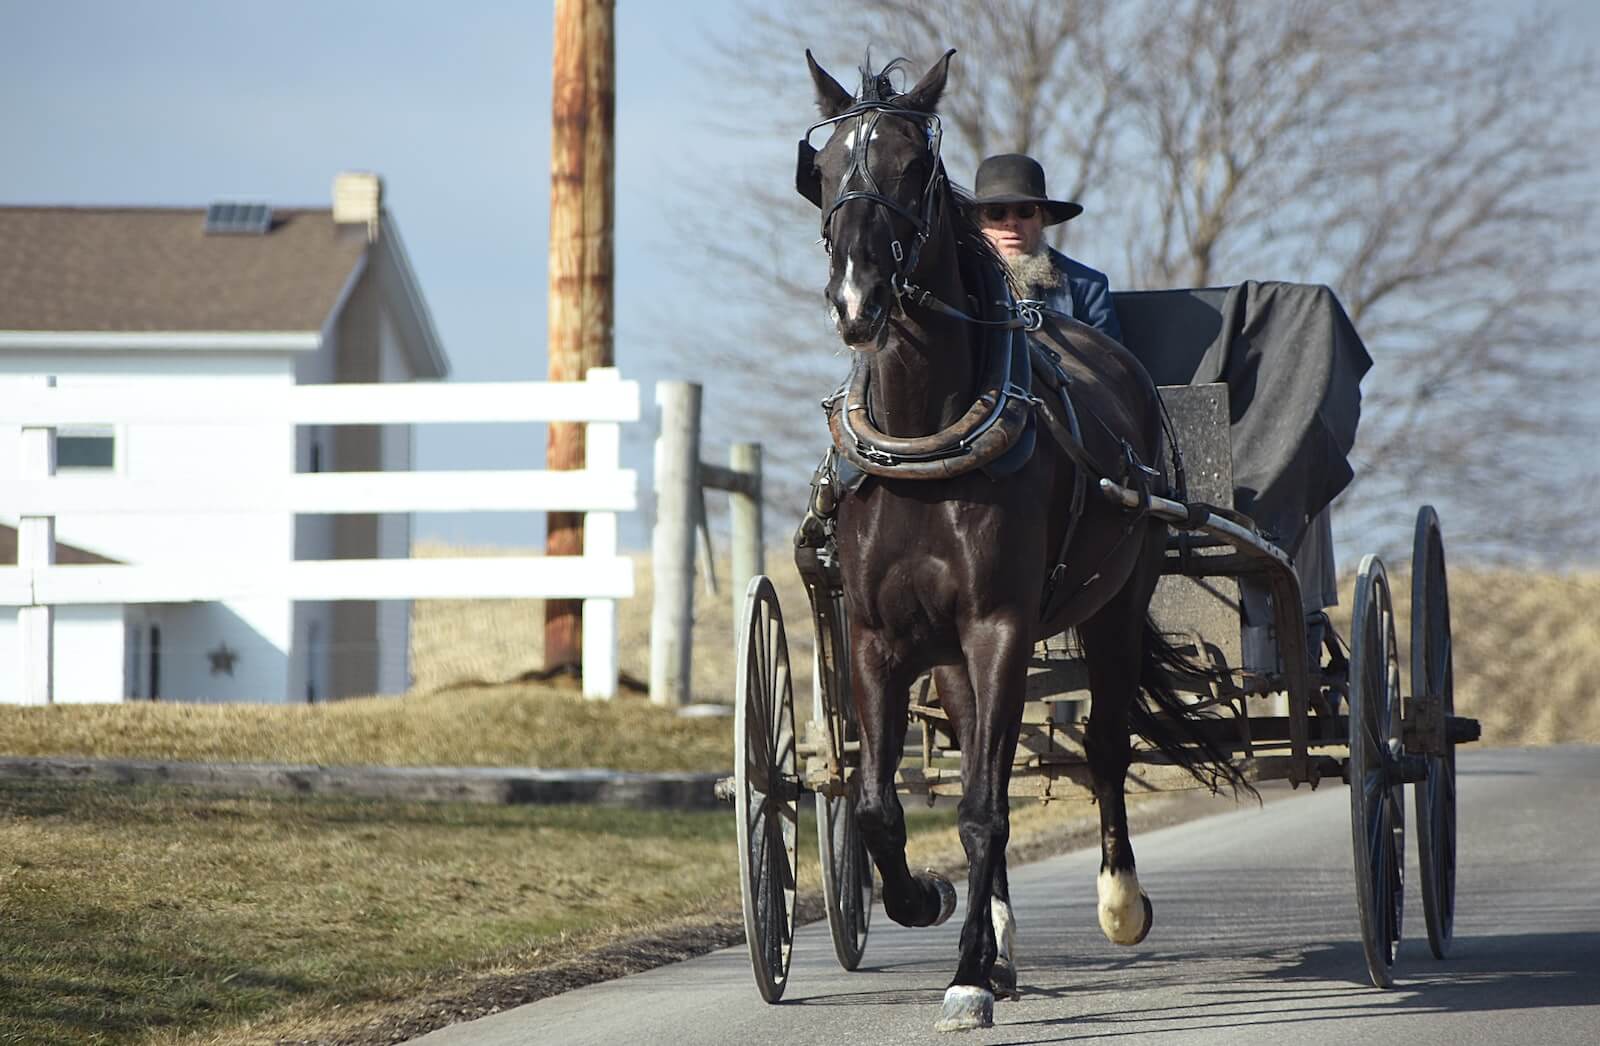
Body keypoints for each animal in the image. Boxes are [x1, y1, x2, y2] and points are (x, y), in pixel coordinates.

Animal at [798, 49, 1248, 1032]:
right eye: (827, 166)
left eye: (912, 166)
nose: (855, 298)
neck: (929, 438)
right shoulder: (878, 638)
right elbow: (881, 804)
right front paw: (928, 903)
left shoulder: (999, 626)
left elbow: (979, 808)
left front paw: (966, 975)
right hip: (955, 658)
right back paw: (998, 940)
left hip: (1113, 607)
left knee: (1107, 746)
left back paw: (1117, 903)